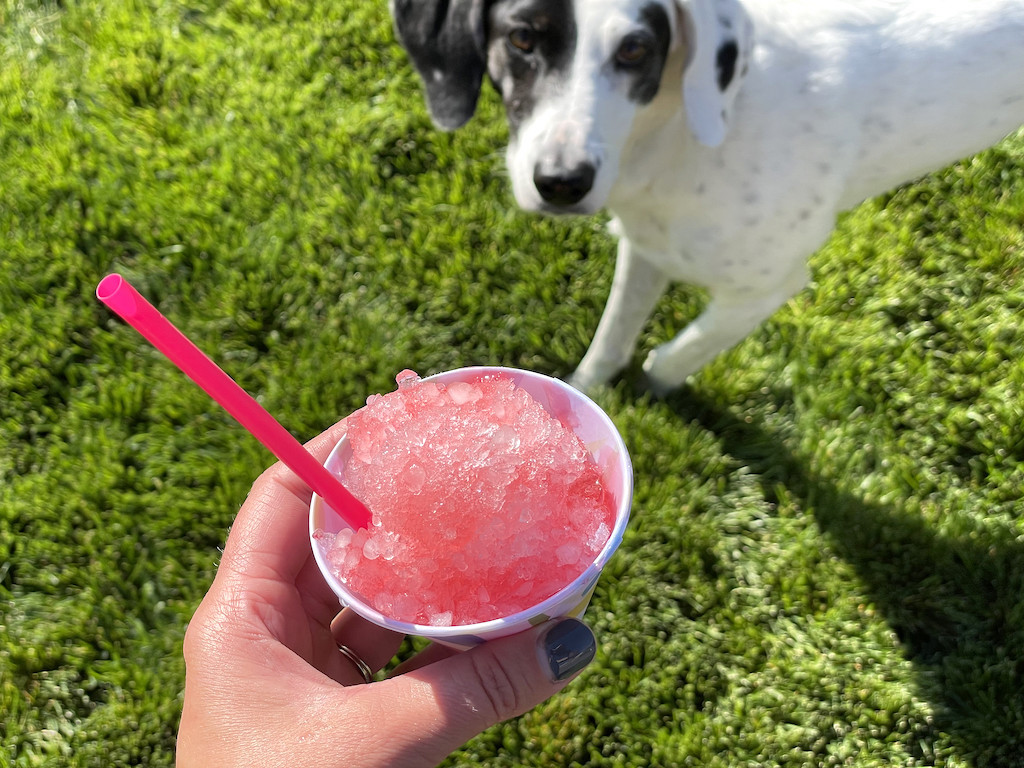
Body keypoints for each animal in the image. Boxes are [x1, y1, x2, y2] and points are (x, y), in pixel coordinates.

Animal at [385, 0, 1024, 393]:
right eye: (521, 38)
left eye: (635, 50)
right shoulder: (645, 246)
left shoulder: (767, 288)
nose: (563, 183)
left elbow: (677, 353)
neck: (679, 134)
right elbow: (609, 342)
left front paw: (656, 386)